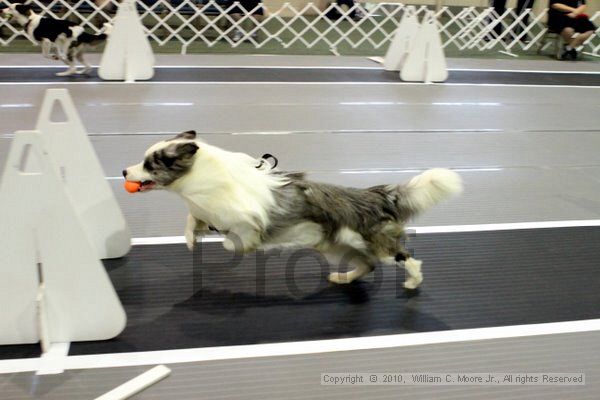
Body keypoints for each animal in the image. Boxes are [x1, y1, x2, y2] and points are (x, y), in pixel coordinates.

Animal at [122, 131, 464, 290]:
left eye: (150, 164)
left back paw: (412, 283)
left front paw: (236, 245)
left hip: (377, 244)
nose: (124, 171)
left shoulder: (244, 221)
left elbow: (236, 240)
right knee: (367, 265)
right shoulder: (207, 211)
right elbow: (193, 219)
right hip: (340, 246)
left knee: (406, 259)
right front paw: (191, 239)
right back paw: (343, 278)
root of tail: (377, 195)